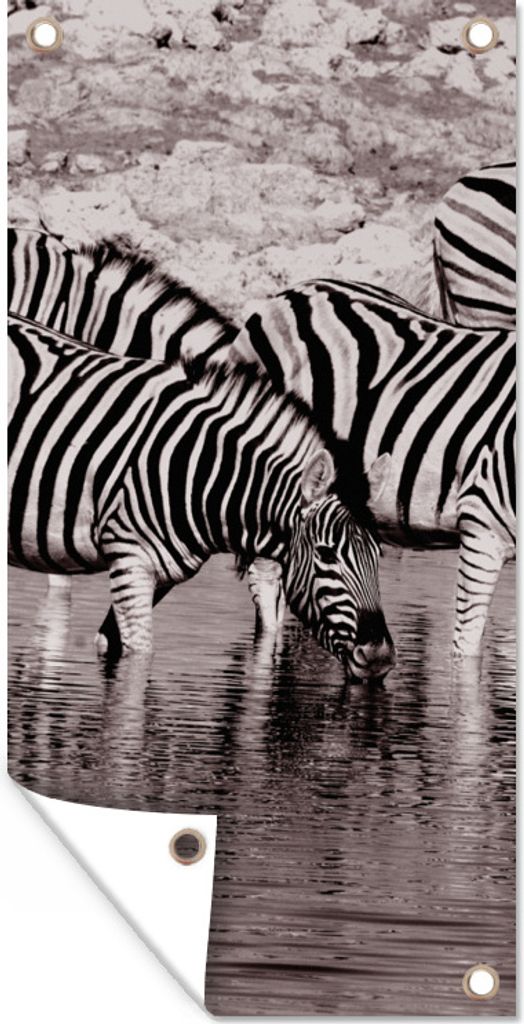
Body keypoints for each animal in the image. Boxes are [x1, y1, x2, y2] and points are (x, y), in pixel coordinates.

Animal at [9, 312, 395, 679]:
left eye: (378, 556)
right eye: (327, 554)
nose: (378, 657)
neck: (201, 471)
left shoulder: (159, 573)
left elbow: (112, 645)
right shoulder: (130, 559)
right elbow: (140, 660)